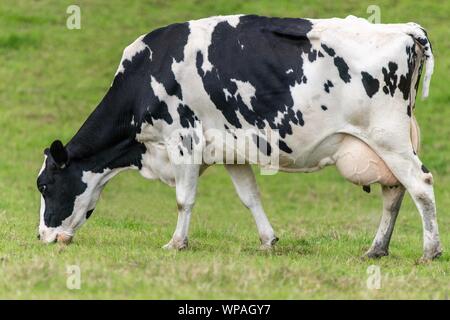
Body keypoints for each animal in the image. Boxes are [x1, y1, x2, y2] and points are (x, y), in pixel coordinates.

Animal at [36, 13, 442, 262]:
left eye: (44, 185)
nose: (41, 236)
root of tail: (403, 29)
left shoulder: (183, 139)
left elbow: (183, 200)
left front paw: (176, 243)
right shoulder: (230, 150)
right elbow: (250, 198)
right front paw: (268, 240)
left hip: (387, 135)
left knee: (420, 184)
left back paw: (430, 251)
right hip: (385, 142)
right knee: (394, 191)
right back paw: (377, 249)